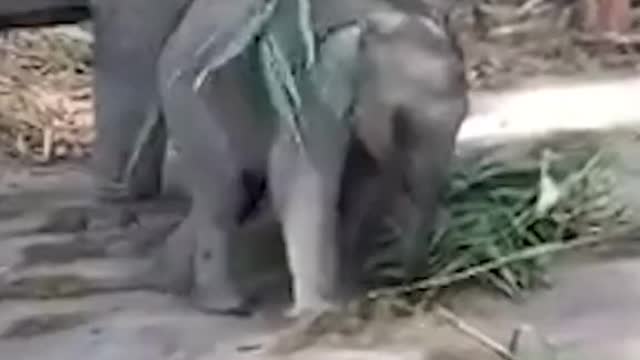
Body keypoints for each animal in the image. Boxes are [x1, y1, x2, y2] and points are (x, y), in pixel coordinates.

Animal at [152, 0, 468, 320]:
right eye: (402, 125)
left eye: (463, 120)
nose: (411, 284)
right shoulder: (313, 85)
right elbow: (300, 177)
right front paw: (320, 310)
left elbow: (361, 181)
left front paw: (347, 286)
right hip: (190, 98)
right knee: (226, 191)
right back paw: (224, 303)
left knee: (242, 190)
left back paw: (170, 277)